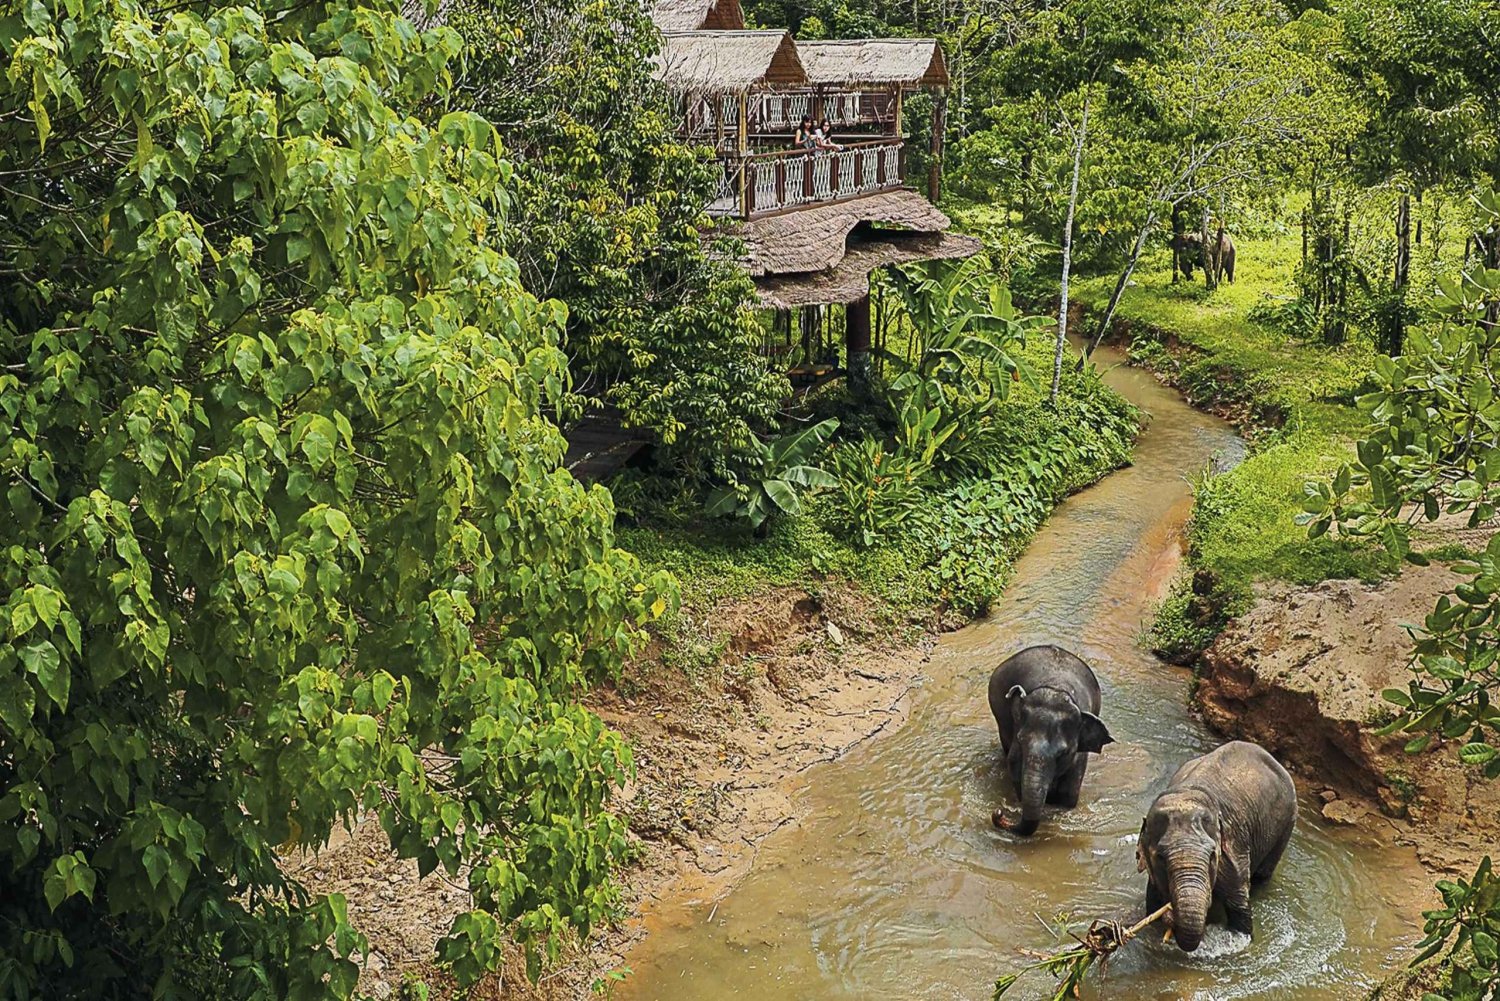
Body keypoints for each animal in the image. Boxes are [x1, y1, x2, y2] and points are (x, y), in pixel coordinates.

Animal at [990, 642, 1110, 840]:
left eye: (1063, 752)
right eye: (1021, 741)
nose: (998, 812)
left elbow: (1069, 796)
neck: (1055, 690)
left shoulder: (1078, 758)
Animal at [1134, 741, 1302, 954]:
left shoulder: (1234, 854)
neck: (1187, 794)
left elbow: (1239, 909)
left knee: (1263, 874)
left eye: (1212, 855)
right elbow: (1152, 906)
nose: (1170, 915)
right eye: (1160, 857)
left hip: (1287, 822)